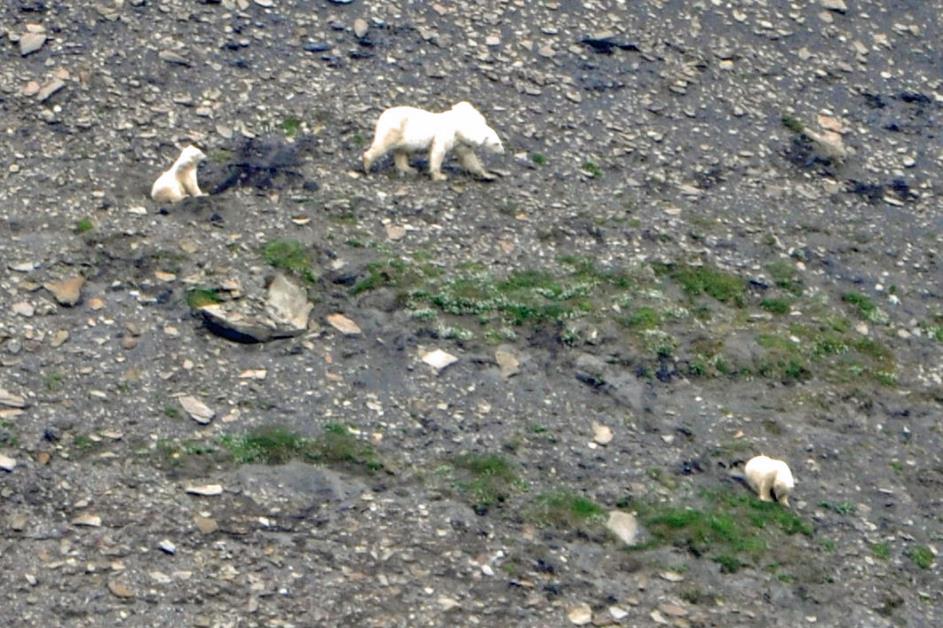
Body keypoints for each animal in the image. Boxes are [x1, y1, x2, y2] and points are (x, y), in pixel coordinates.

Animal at [364, 102, 506, 182]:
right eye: (497, 143)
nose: (503, 151)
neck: (458, 128)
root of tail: (383, 115)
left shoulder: (459, 143)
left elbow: (469, 158)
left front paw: (488, 175)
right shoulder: (445, 134)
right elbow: (438, 151)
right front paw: (440, 176)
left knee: (401, 152)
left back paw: (409, 169)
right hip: (397, 128)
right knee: (383, 144)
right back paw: (367, 164)